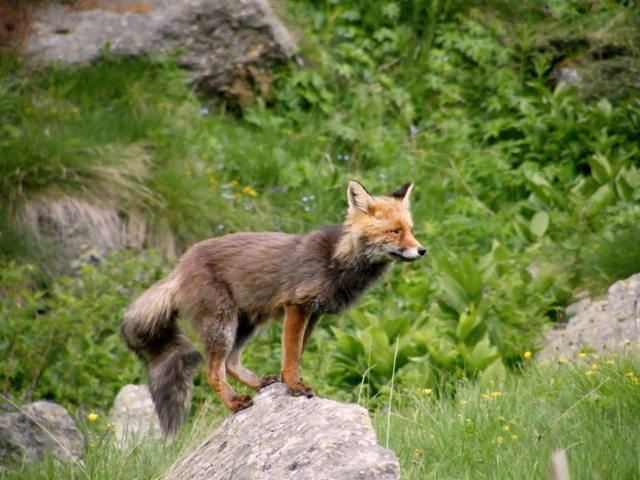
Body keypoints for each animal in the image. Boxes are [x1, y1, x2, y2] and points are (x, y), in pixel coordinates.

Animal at [123, 180, 428, 438]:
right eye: (395, 231)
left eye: (410, 230)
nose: (422, 250)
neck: (338, 259)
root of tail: (180, 266)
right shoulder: (298, 305)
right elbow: (292, 352)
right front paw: (294, 386)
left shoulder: (315, 313)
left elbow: (297, 351)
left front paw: (285, 380)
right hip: (223, 325)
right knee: (213, 371)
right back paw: (234, 403)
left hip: (246, 325)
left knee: (230, 363)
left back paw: (259, 383)